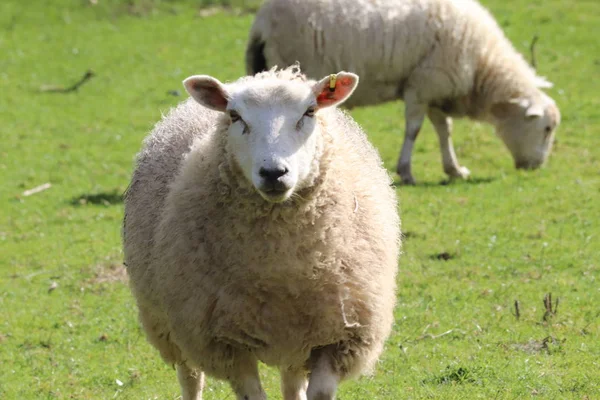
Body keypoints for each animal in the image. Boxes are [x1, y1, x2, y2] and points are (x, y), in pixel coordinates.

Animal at [122, 66, 400, 400]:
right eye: (235, 116)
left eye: (309, 111)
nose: (273, 173)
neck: (280, 267)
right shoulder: (223, 343)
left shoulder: (339, 334)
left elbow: (318, 393)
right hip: (174, 323)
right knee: (190, 377)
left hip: (294, 334)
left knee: (292, 382)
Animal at [245, 0, 564, 184]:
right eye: (547, 129)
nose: (536, 167)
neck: (482, 67)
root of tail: (261, 19)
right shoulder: (421, 85)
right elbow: (414, 130)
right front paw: (406, 171)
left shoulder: (434, 89)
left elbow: (444, 130)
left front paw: (454, 169)